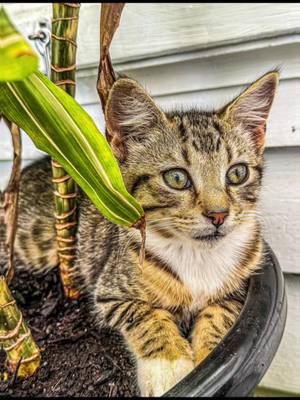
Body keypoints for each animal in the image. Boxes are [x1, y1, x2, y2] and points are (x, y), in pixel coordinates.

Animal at [10, 70, 278, 396]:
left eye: (237, 173)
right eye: (177, 178)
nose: (219, 214)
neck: (197, 254)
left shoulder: (244, 283)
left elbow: (220, 314)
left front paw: (206, 356)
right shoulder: (110, 290)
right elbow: (148, 317)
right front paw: (169, 368)